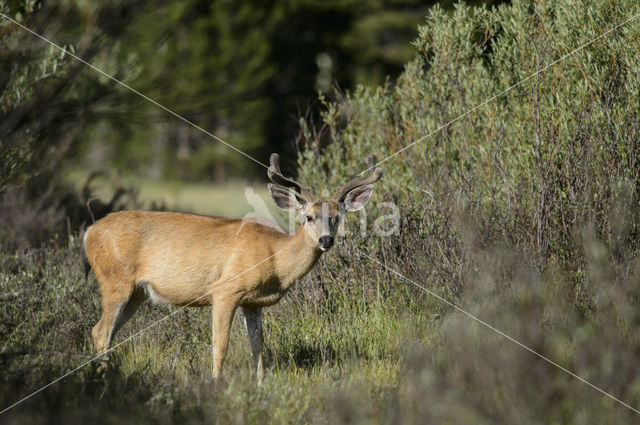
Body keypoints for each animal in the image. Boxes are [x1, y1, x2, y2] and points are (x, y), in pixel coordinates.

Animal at [85, 152, 384, 380]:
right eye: (308, 217)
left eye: (336, 217)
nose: (326, 240)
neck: (274, 258)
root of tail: (89, 232)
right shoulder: (225, 290)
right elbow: (221, 346)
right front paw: (217, 385)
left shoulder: (252, 302)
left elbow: (258, 346)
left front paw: (260, 385)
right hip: (115, 281)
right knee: (100, 330)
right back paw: (103, 380)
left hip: (137, 293)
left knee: (108, 332)